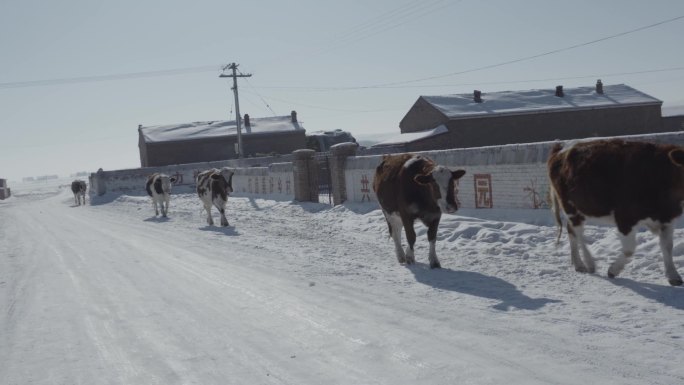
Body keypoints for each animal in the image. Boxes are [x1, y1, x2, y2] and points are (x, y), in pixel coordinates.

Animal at [548, 138, 684, 284]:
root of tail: (561, 146)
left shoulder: (667, 218)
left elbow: (667, 246)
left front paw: (673, 275)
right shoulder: (625, 217)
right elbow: (629, 249)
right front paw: (613, 270)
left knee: (572, 231)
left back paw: (579, 264)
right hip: (569, 205)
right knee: (578, 233)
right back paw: (589, 263)